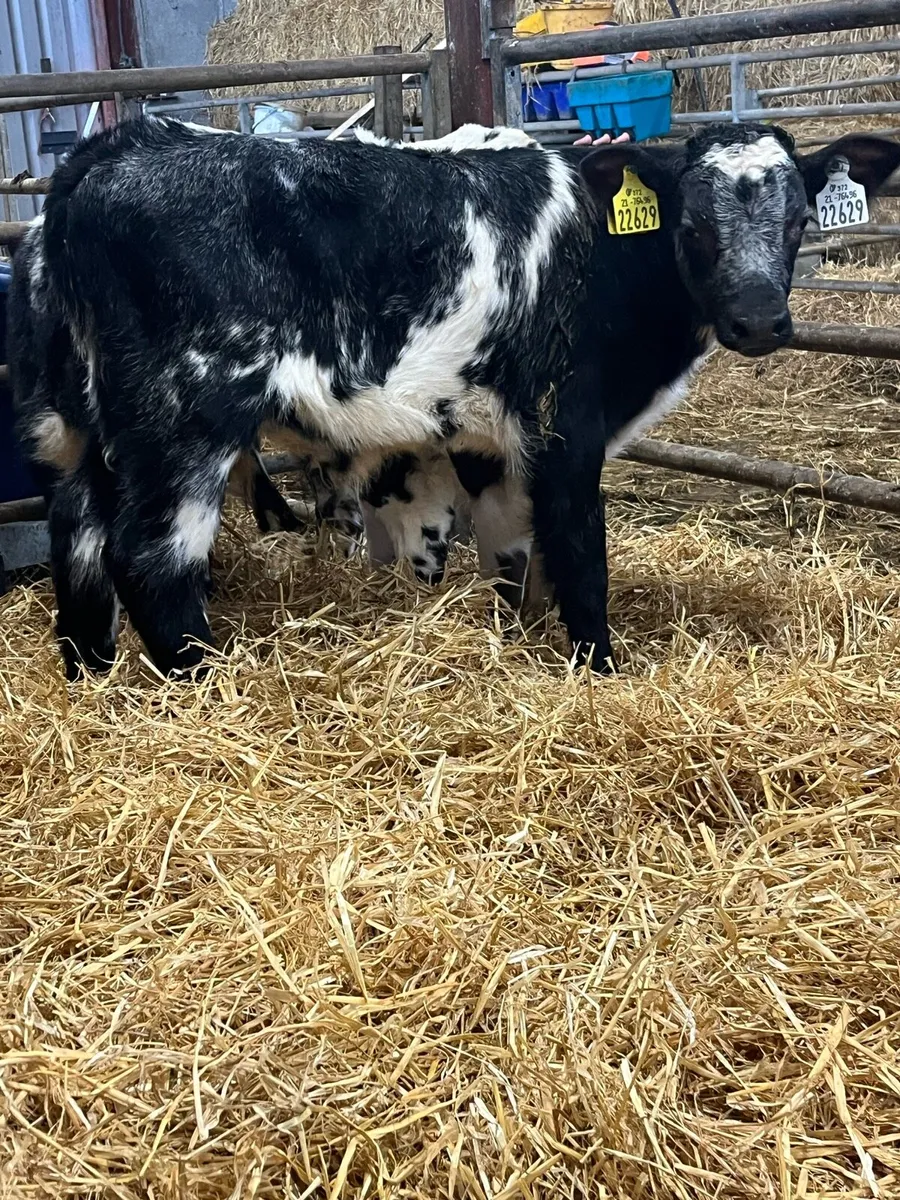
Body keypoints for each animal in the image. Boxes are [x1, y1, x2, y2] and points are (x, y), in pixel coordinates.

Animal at [19, 115, 900, 679]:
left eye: (799, 221)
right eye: (693, 226)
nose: (759, 320)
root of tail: (116, 148)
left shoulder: (484, 440)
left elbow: (513, 557)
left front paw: (518, 641)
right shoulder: (565, 428)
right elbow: (581, 557)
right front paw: (600, 670)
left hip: (77, 429)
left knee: (79, 542)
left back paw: (92, 678)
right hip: (182, 421)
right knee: (151, 558)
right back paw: (202, 690)